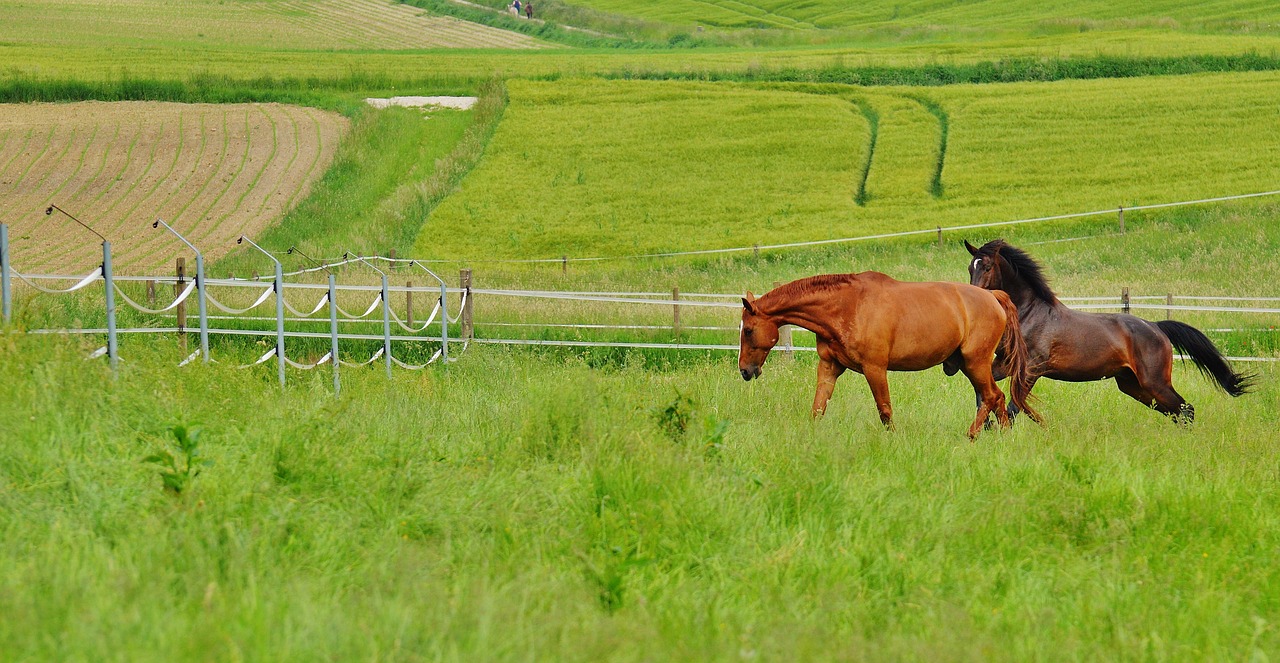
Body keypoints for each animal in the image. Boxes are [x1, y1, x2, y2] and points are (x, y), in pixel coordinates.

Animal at [742, 272, 1039, 440]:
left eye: (747, 330)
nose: (745, 370)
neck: (847, 305)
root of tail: (993, 297)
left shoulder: (875, 368)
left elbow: (884, 410)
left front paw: (892, 440)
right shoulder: (829, 367)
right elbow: (818, 407)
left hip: (975, 363)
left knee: (991, 396)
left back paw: (973, 435)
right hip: (972, 366)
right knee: (997, 398)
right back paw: (1004, 437)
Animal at [962, 240, 1254, 427]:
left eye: (986, 267)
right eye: (970, 267)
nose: (975, 297)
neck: (1029, 314)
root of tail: (1156, 327)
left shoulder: (1032, 369)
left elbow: (1013, 409)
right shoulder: (1004, 364)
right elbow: (982, 393)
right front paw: (986, 426)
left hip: (1154, 381)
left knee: (1186, 409)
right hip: (1132, 385)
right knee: (1176, 412)